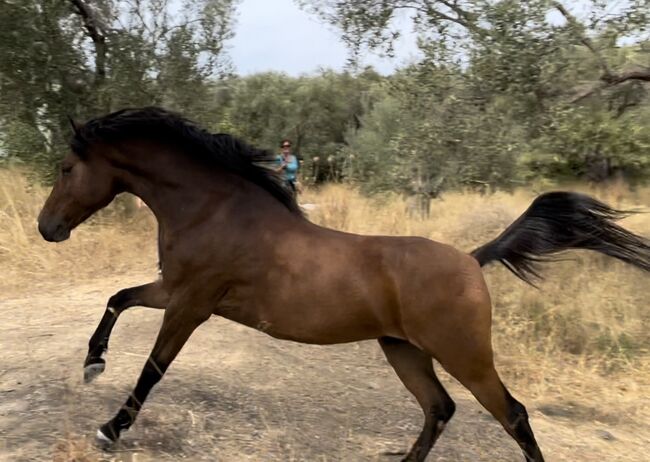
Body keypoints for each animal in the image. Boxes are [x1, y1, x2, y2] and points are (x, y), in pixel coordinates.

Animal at [38, 107, 644, 458]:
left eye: (67, 168)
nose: (48, 228)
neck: (213, 209)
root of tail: (473, 262)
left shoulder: (191, 304)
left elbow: (153, 368)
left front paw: (110, 430)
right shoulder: (175, 291)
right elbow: (117, 300)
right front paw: (92, 364)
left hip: (464, 355)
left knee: (512, 414)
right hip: (404, 351)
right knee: (440, 409)